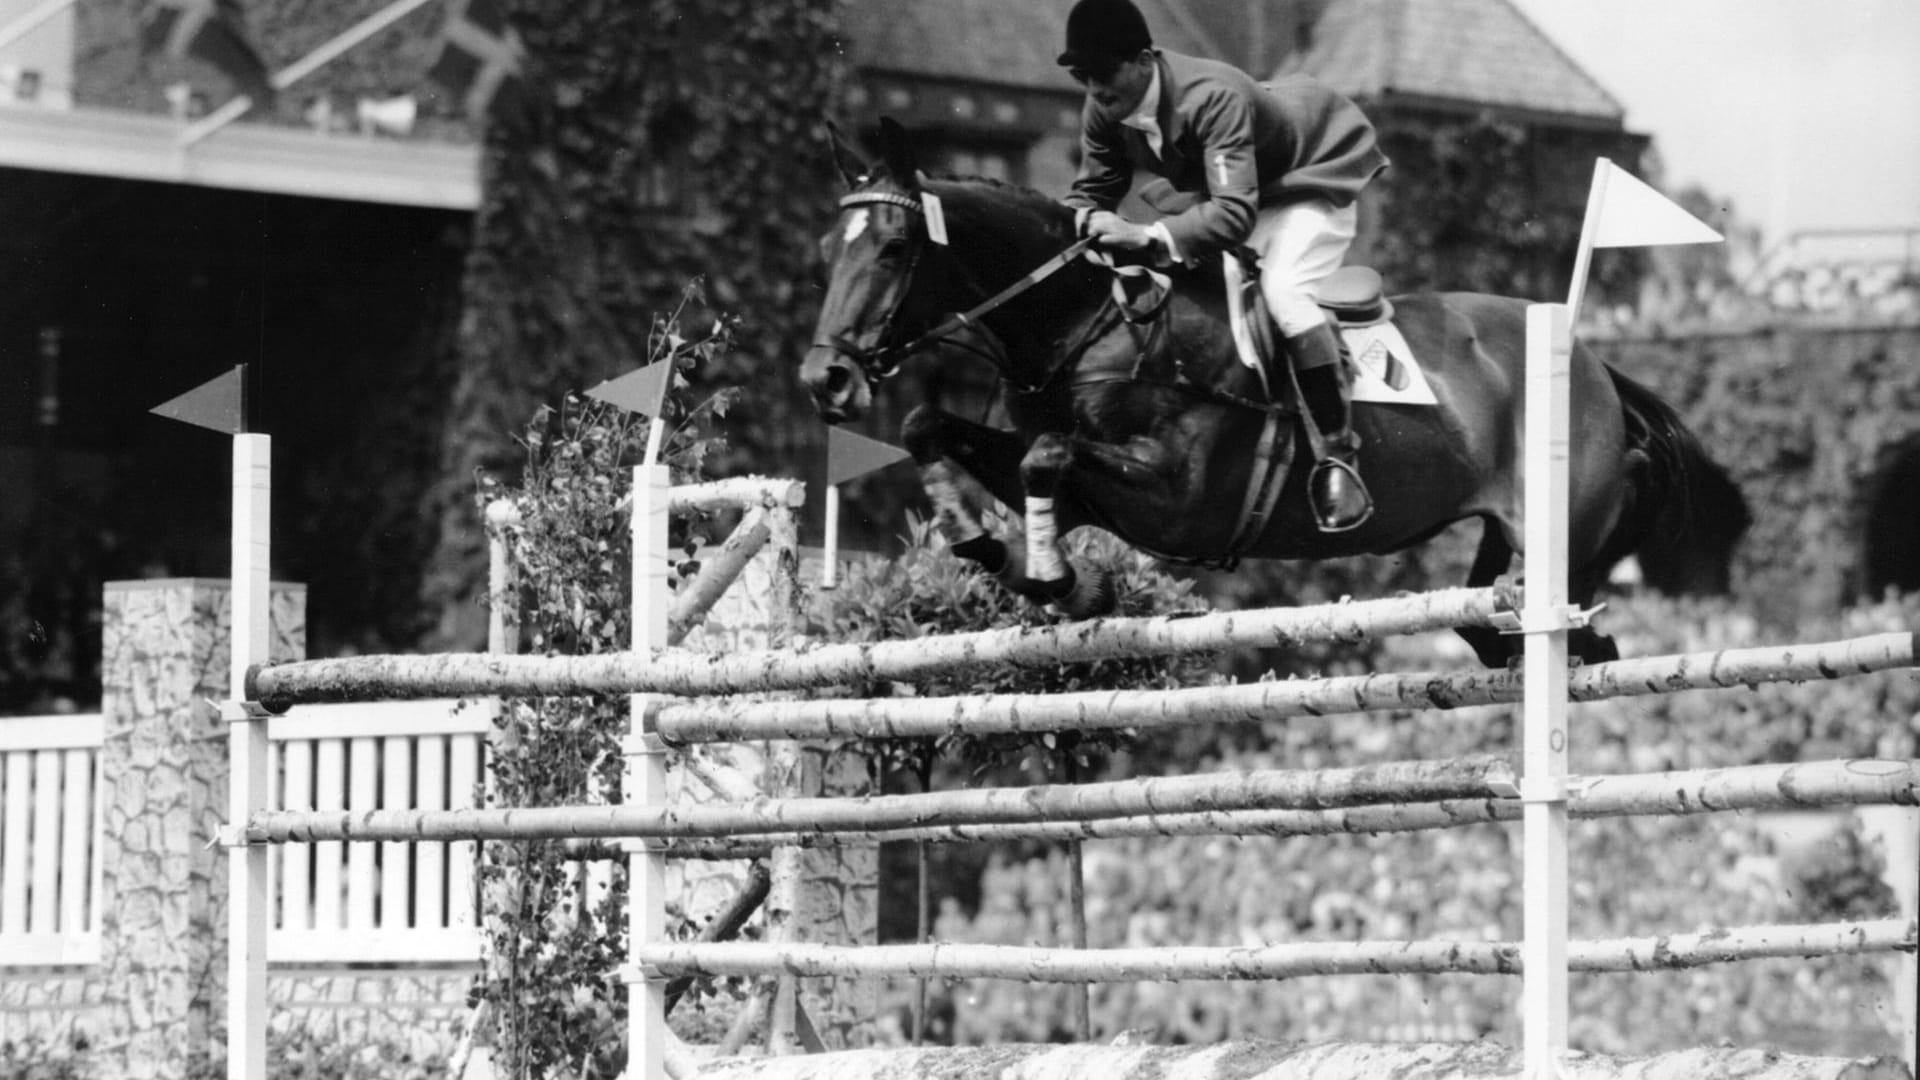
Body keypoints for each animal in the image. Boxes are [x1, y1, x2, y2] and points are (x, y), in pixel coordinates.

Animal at [802, 125, 1751, 664]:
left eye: (892, 250)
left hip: (1567, 531)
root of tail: (1592, 363)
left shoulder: (1180, 498)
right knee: (1490, 615)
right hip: (1500, 530)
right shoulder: (1075, 486)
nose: (824, 378)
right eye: (824, 248)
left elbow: (1046, 454)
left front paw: (1060, 581)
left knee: (1585, 619)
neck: (1086, 321)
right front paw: (996, 552)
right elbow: (935, 427)